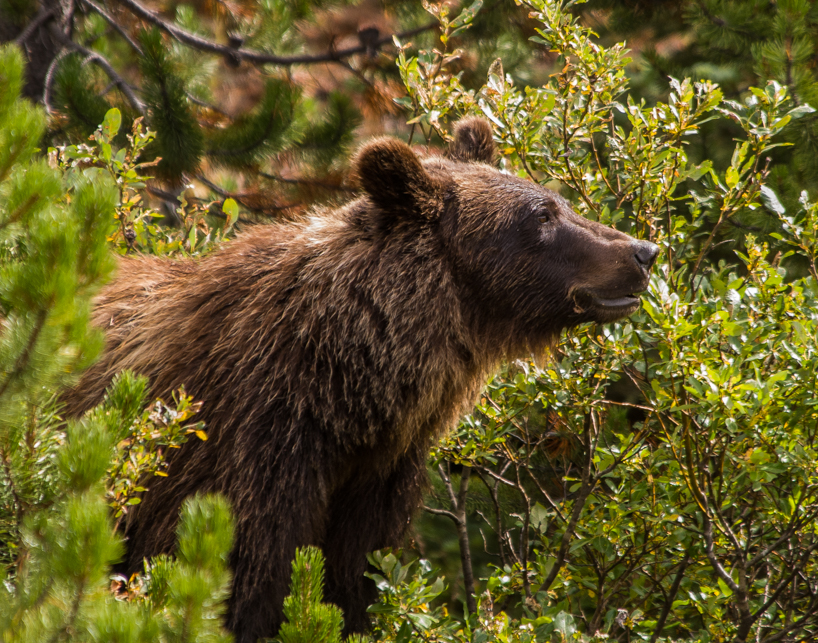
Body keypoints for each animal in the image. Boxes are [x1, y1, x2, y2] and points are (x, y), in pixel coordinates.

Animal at [62, 117, 659, 643]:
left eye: (557, 200)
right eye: (542, 215)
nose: (643, 251)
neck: (343, 391)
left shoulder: (378, 476)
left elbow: (357, 578)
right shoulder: (240, 451)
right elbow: (244, 578)